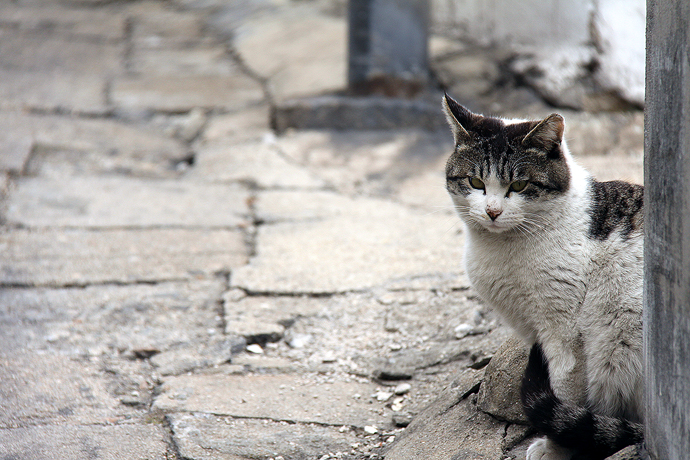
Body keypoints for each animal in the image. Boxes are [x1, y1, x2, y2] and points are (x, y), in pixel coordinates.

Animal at [440, 94, 644, 460]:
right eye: (475, 182)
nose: (492, 211)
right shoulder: (530, 328)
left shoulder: (564, 333)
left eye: (519, 185)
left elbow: (565, 391)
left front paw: (555, 448)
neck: (503, 248)